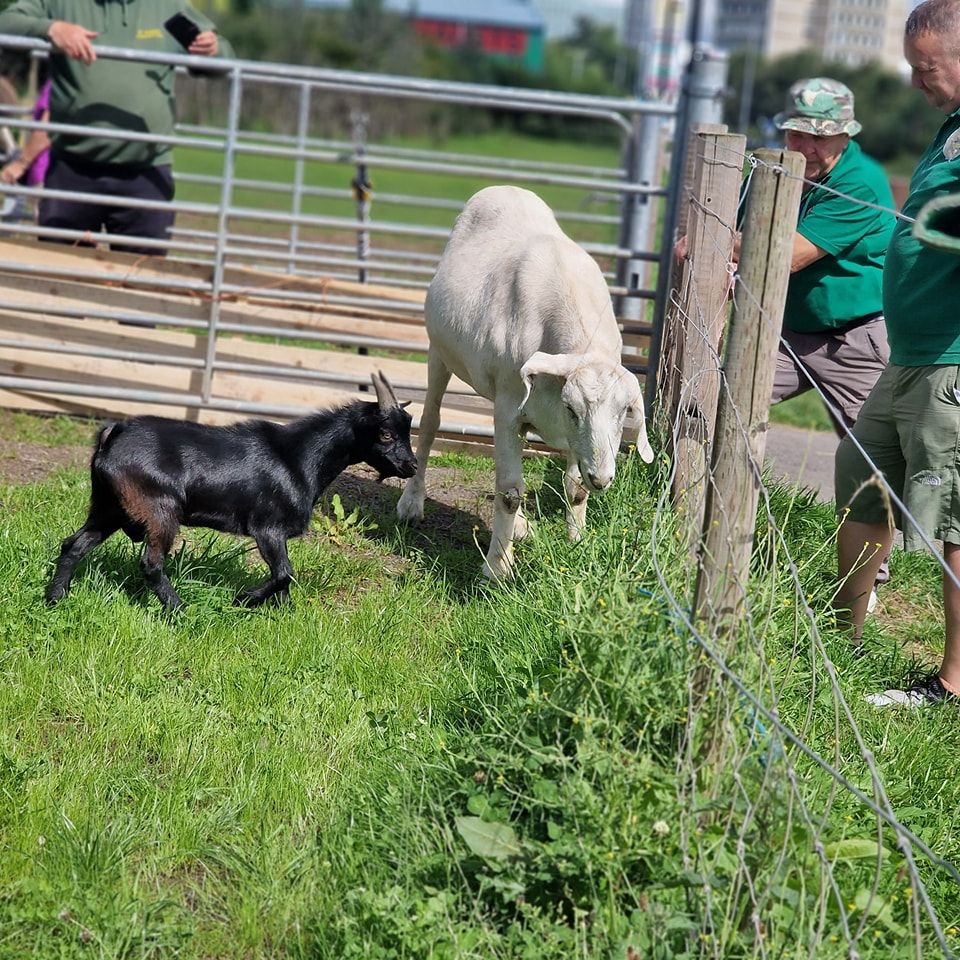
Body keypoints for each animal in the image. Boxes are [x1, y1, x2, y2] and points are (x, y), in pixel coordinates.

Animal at [47, 372, 416, 612]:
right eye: (385, 433)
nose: (411, 466)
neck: (299, 457)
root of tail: (113, 433)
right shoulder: (268, 528)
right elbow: (284, 574)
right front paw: (243, 600)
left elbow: (286, 581)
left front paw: (284, 615)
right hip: (158, 509)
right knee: (151, 563)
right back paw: (180, 610)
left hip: (109, 506)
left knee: (74, 544)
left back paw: (55, 598)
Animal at [396, 186, 652, 576]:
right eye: (571, 408)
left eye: (625, 411)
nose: (603, 479)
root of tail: (505, 189)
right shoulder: (510, 409)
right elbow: (509, 492)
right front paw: (497, 569)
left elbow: (574, 488)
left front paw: (576, 544)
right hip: (439, 353)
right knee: (429, 423)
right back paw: (412, 502)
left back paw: (519, 527)